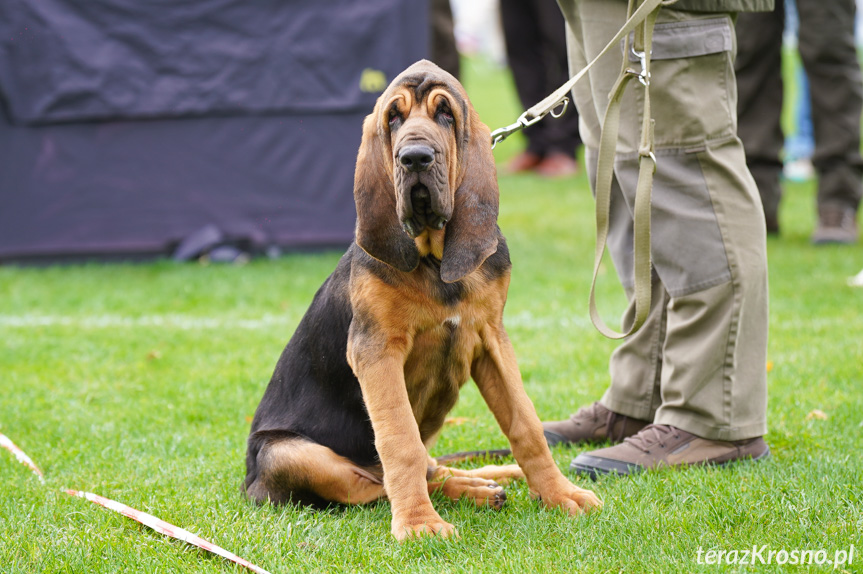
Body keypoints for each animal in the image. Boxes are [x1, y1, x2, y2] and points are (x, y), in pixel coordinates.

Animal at [243, 58, 600, 540]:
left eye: (445, 113)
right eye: (393, 118)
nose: (414, 157)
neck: (434, 258)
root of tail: (249, 484)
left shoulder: (492, 340)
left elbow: (526, 424)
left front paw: (561, 494)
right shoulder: (376, 350)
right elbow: (401, 441)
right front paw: (418, 523)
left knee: (431, 468)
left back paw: (489, 480)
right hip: (286, 455)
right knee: (377, 484)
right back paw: (469, 491)